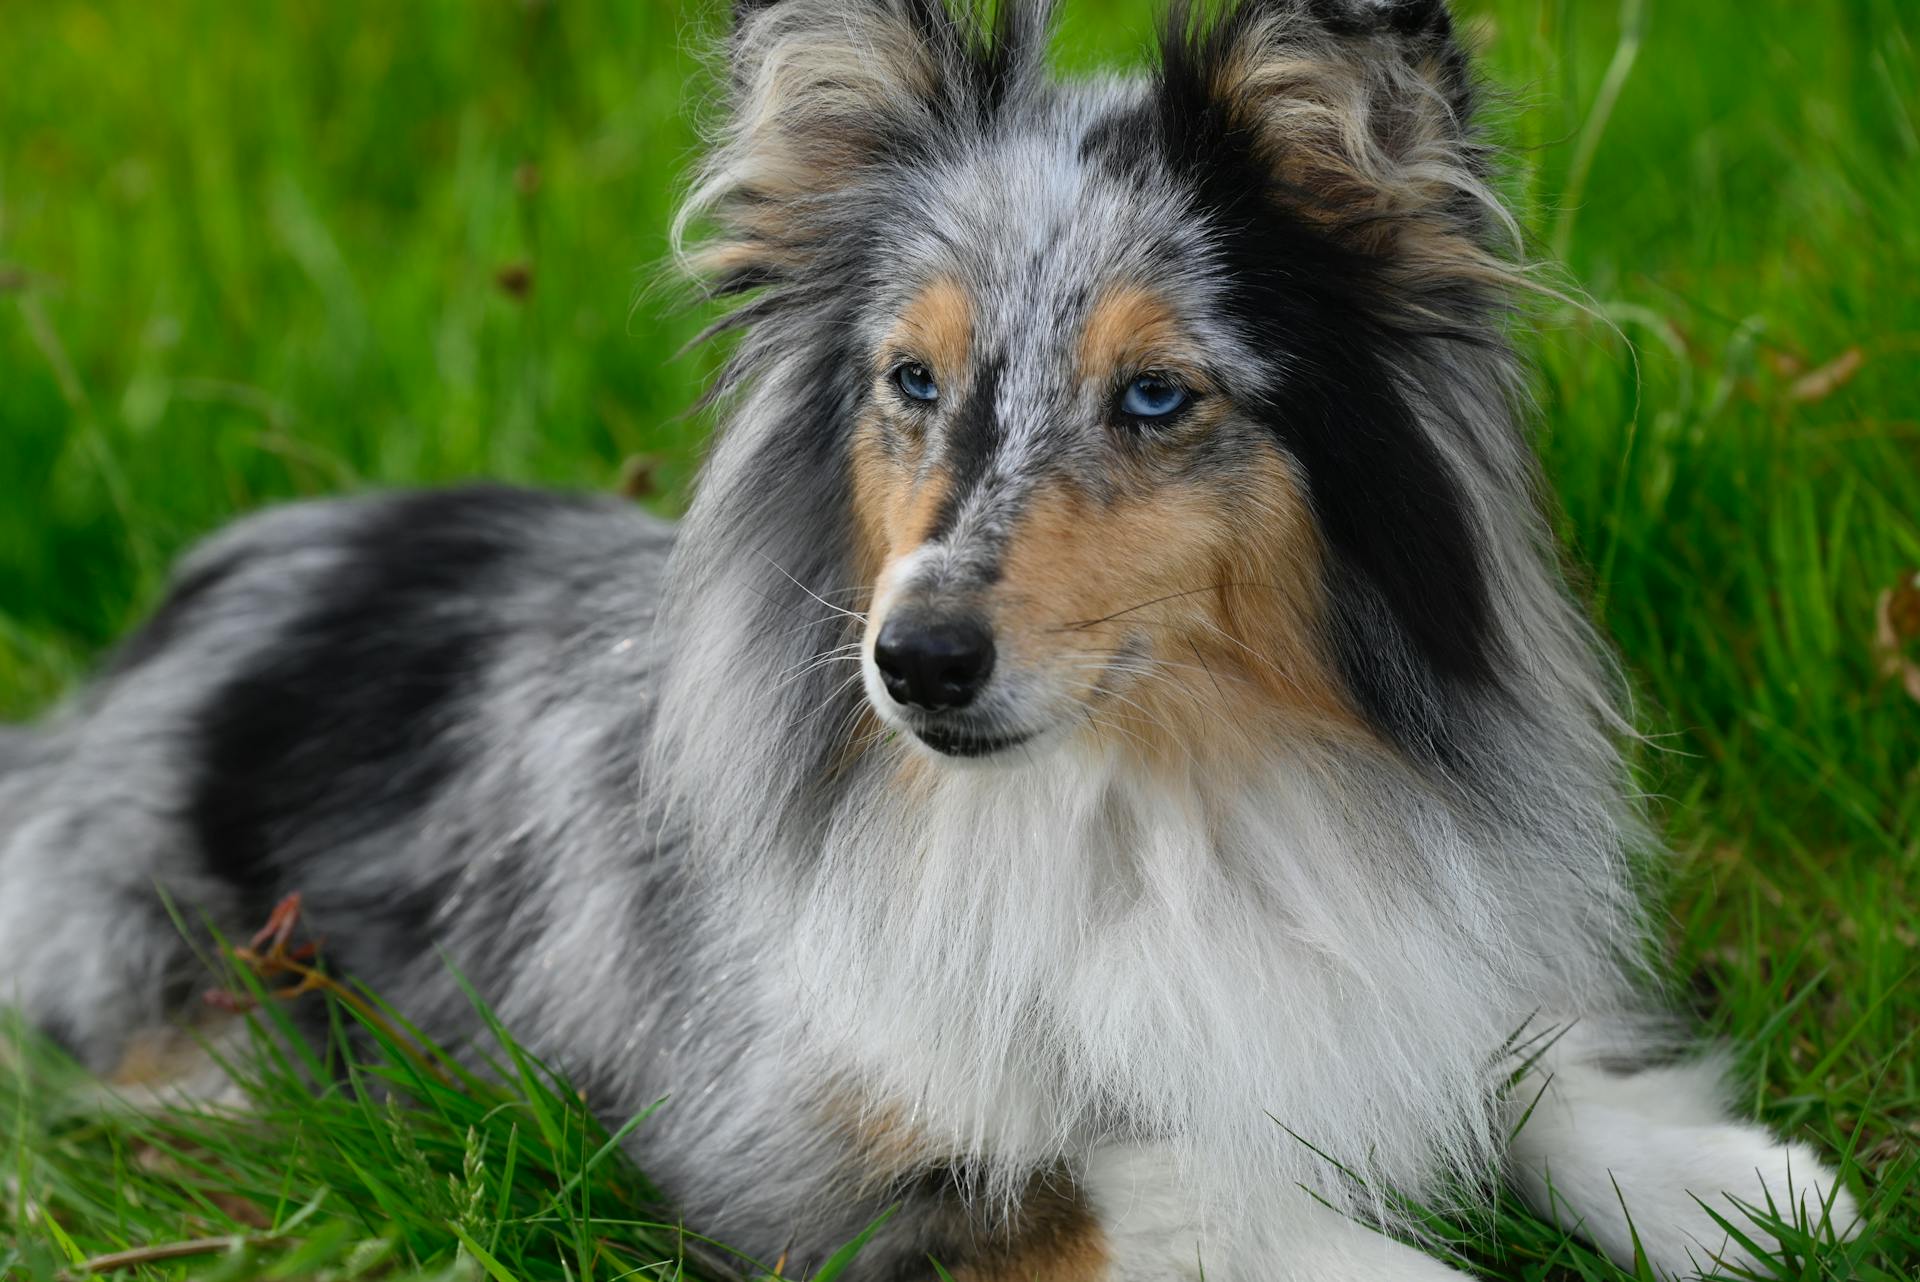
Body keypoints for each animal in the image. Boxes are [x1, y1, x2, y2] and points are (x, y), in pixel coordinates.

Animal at [0, 2, 1858, 1282]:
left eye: (1156, 395)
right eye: (911, 377)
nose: (919, 664)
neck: (1150, 799)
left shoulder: (1380, 960)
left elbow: (1521, 1067)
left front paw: (1747, 1192)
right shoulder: (804, 1152)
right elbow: (1178, 1182)